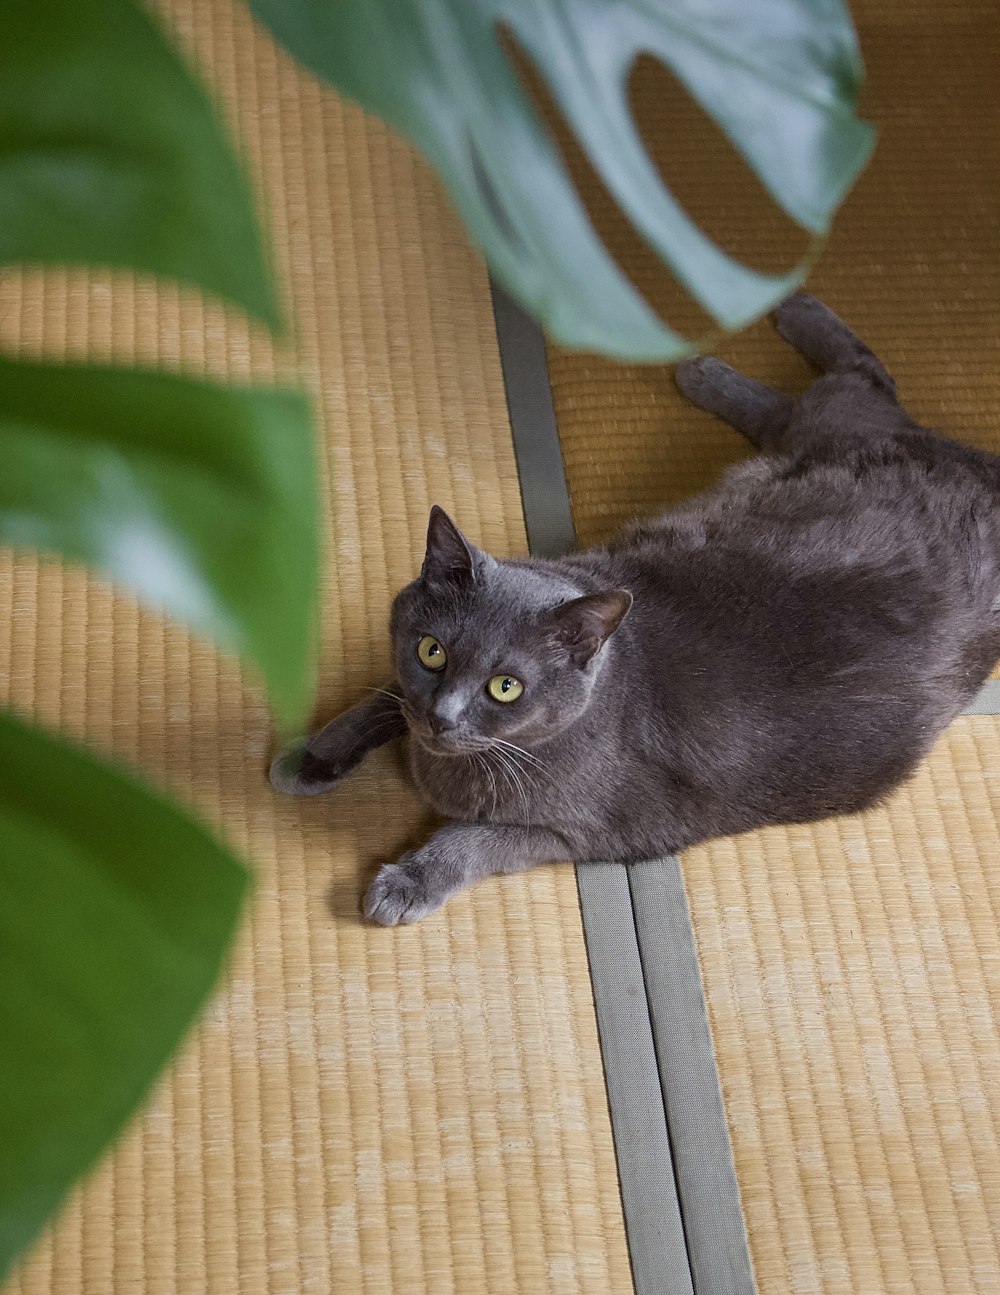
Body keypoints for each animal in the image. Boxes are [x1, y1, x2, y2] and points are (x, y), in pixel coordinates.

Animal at [272, 296, 1000, 922]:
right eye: (432, 651)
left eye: (506, 687)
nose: (441, 716)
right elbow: (383, 694)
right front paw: (313, 755)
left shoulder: (581, 833)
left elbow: (470, 839)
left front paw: (406, 881)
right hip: (821, 433)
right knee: (838, 391)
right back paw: (714, 360)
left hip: (842, 428)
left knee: (863, 376)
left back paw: (749, 338)